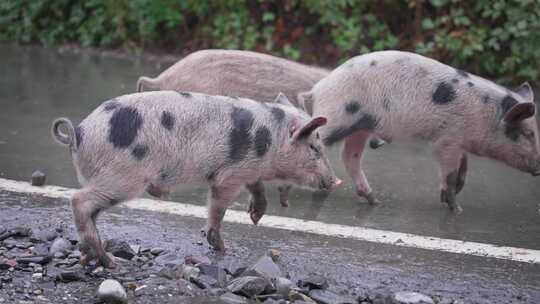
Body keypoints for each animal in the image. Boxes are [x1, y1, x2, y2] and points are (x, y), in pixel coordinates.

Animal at [50, 91, 338, 268]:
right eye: (315, 148)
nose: (335, 181)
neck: (271, 140)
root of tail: (78, 133)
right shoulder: (228, 175)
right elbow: (218, 207)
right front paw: (222, 249)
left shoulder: (249, 171)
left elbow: (256, 188)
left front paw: (256, 218)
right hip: (121, 178)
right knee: (78, 201)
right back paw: (112, 263)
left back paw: (89, 257)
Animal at [300, 50, 540, 211]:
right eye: (528, 134)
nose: (538, 169)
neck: (487, 116)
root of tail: (316, 89)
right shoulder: (447, 140)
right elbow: (451, 174)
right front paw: (457, 209)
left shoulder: (458, 141)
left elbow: (463, 168)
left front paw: (448, 198)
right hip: (336, 117)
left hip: (362, 127)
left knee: (350, 156)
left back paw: (375, 201)